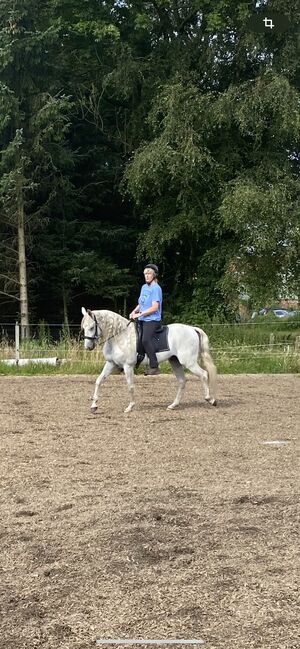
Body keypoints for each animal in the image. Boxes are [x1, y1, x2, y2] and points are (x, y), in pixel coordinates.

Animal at [81, 308, 217, 410]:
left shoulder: (128, 366)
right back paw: (173, 405)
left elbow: (130, 386)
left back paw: (210, 399)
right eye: (83, 327)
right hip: (175, 362)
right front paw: (94, 405)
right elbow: (99, 381)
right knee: (182, 381)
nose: (88, 347)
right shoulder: (111, 363)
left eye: (92, 327)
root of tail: (192, 329)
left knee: (204, 374)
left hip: (189, 362)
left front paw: (130, 407)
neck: (120, 337)